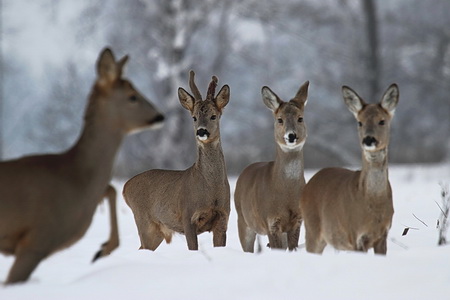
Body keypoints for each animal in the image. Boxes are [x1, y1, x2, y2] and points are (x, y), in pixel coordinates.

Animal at [0, 47, 164, 284]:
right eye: (132, 96)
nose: (160, 116)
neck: (74, 176)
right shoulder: (37, 239)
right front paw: (102, 249)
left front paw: (103, 249)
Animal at [122, 70, 230, 251]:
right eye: (194, 117)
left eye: (214, 116)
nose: (201, 131)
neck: (211, 190)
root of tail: (125, 187)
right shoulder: (187, 216)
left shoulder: (223, 218)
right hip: (144, 220)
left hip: (156, 231)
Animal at [232, 81, 310, 252]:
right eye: (279, 119)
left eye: (300, 118)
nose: (291, 136)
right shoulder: (269, 221)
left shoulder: (297, 221)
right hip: (243, 221)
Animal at [300, 83, 400, 254]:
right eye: (359, 122)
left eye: (382, 121)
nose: (368, 139)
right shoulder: (355, 235)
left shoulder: (383, 235)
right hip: (312, 228)